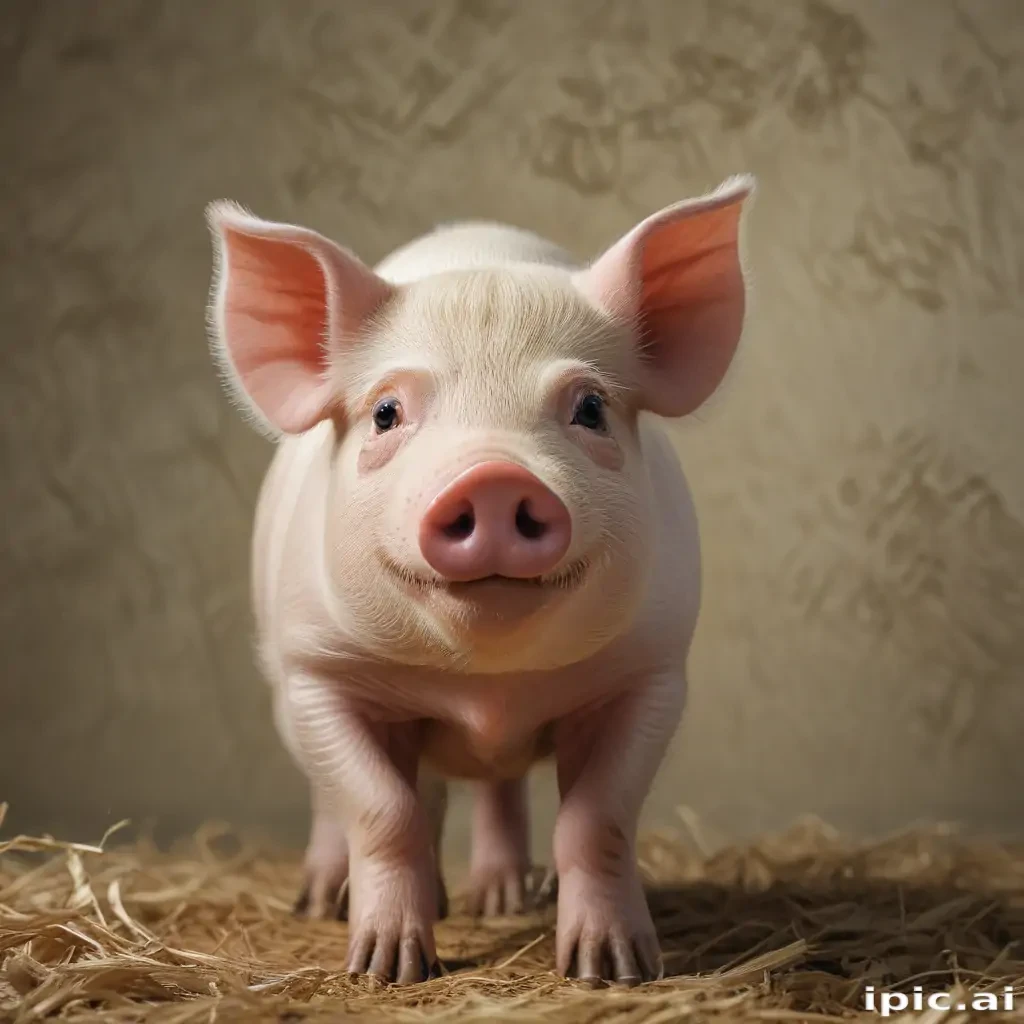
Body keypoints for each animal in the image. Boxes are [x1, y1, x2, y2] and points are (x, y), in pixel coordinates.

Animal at [204, 174, 756, 986]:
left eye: (591, 407)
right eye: (386, 412)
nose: (495, 478)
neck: (485, 688)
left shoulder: (652, 673)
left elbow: (598, 819)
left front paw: (611, 971)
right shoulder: (318, 674)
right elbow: (381, 809)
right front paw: (386, 972)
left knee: (498, 787)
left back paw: (500, 900)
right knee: (366, 802)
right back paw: (329, 903)